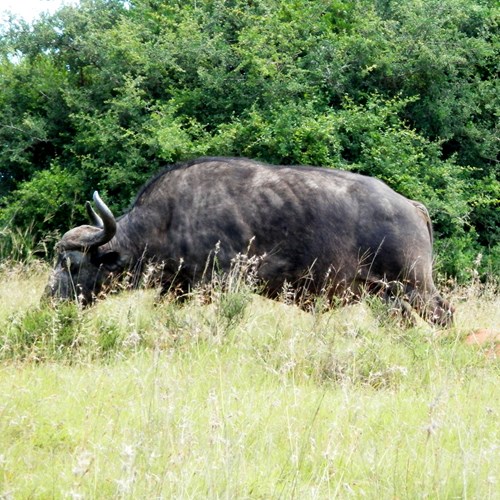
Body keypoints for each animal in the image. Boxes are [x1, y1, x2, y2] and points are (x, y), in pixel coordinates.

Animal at [45, 158, 454, 326]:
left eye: (72, 264)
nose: (48, 299)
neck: (170, 218)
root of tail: (410, 206)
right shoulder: (178, 289)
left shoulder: (224, 283)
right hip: (388, 296)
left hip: (416, 287)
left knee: (445, 315)